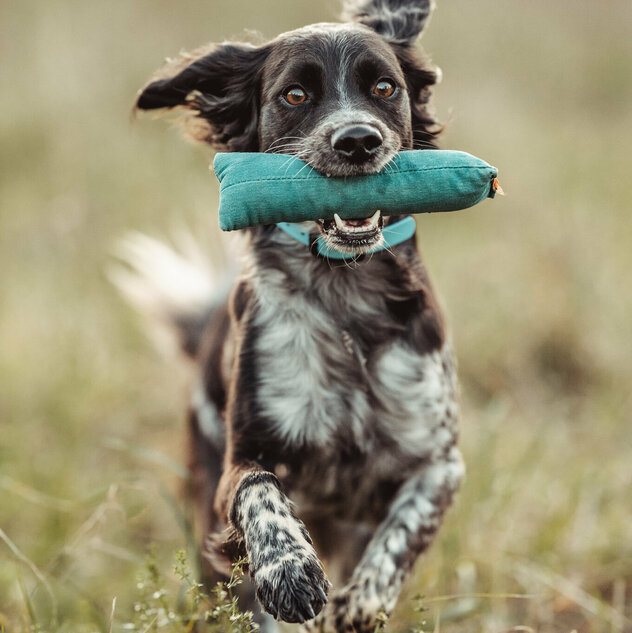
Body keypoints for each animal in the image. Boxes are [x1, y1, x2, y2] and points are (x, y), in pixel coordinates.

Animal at [128, 1, 464, 632]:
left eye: (385, 88)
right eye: (294, 95)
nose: (358, 141)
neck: (344, 294)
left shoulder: (438, 462)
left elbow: (405, 531)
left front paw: (361, 602)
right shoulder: (239, 464)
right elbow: (259, 490)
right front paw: (291, 571)